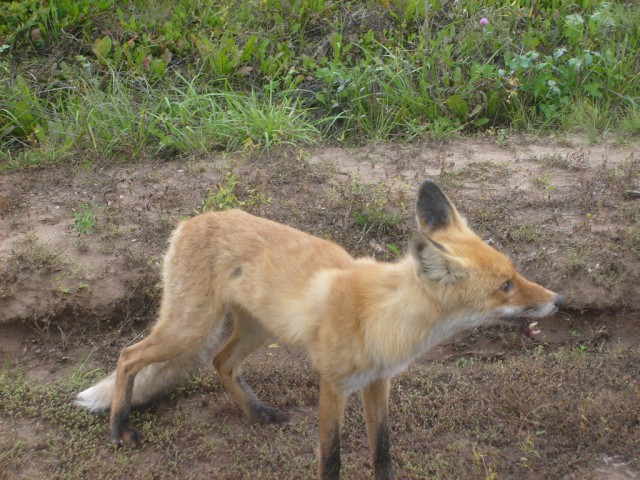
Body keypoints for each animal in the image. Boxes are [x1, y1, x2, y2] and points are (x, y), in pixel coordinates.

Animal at [76, 180, 563, 480]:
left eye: (515, 273)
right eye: (505, 286)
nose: (558, 300)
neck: (383, 316)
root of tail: (192, 219)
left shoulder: (378, 382)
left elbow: (382, 452)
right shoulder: (332, 385)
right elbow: (332, 460)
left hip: (255, 331)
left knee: (220, 362)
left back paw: (256, 412)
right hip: (189, 328)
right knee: (128, 357)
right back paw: (119, 428)